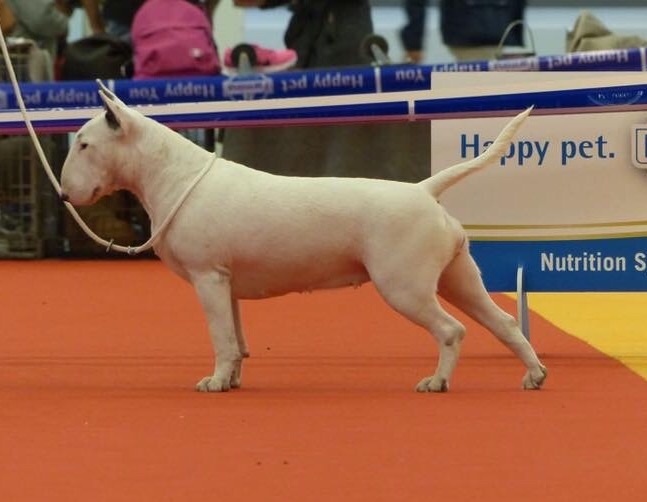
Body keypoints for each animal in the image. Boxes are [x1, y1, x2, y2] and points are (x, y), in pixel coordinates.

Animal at [60, 85, 547, 393]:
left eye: (83, 144)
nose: (64, 194)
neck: (175, 176)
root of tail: (424, 190)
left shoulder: (208, 279)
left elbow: (221, 338)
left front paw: (214, 382)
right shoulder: (227, 285)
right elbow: (236, 340)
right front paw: (231, 380)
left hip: (404, 287)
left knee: (451, 330)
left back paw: (438, 382)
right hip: (458, 279)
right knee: (504, 323)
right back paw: (534, 376)